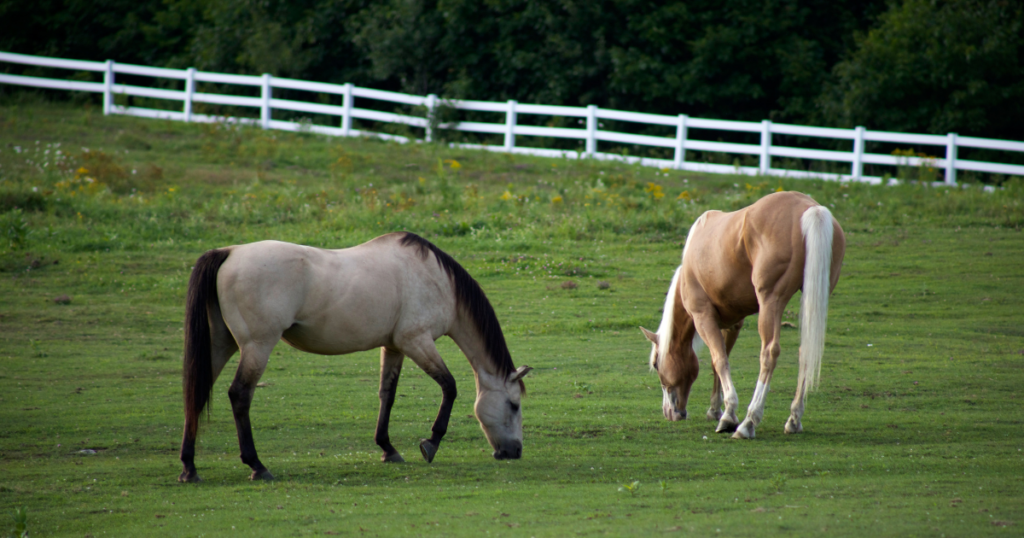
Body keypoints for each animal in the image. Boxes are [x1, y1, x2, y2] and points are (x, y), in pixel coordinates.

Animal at [179, 230, 532, 481]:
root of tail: (229, 252)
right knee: (240, 395)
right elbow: (450, 387)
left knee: (196, 393)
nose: (515, 451)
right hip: (257, 346)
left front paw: (388, 449)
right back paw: (257, 465)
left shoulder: (394, 347)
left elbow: (387, 394)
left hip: (221, 344)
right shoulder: (417, 341)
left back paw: (189, 468)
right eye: (514, 405)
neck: (437, 279)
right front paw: (430, 443)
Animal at [638, 190, 847, 438]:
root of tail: (810, 208)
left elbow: (719, 360)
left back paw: (749, 422)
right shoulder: (732, 323)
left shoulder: (703, 317)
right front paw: (715, 409)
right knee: (805, 351)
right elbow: (718, 361)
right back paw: (794, 419)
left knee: (769, 353)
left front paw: (728, 416)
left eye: (656, 364)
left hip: (770, 302)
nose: (670, 413)